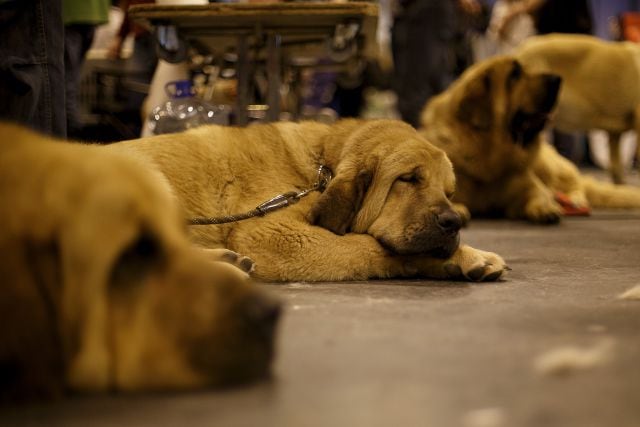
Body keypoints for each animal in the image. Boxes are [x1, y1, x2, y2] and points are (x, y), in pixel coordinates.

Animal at [110, 119, 508, 284]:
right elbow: (370, 248)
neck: (322, 167)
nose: (452, 223)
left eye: (450, 193)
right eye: (409, 178)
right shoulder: (274, 235)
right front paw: (462, 256)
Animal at [418, 56, 640, 224]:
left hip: (549, 167)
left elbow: (538, 194)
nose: (557, 79)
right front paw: (457, 208)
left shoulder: (527, 184)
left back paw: (574, 200)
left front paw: (546, 208)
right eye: (514, 75)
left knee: (576, 185)